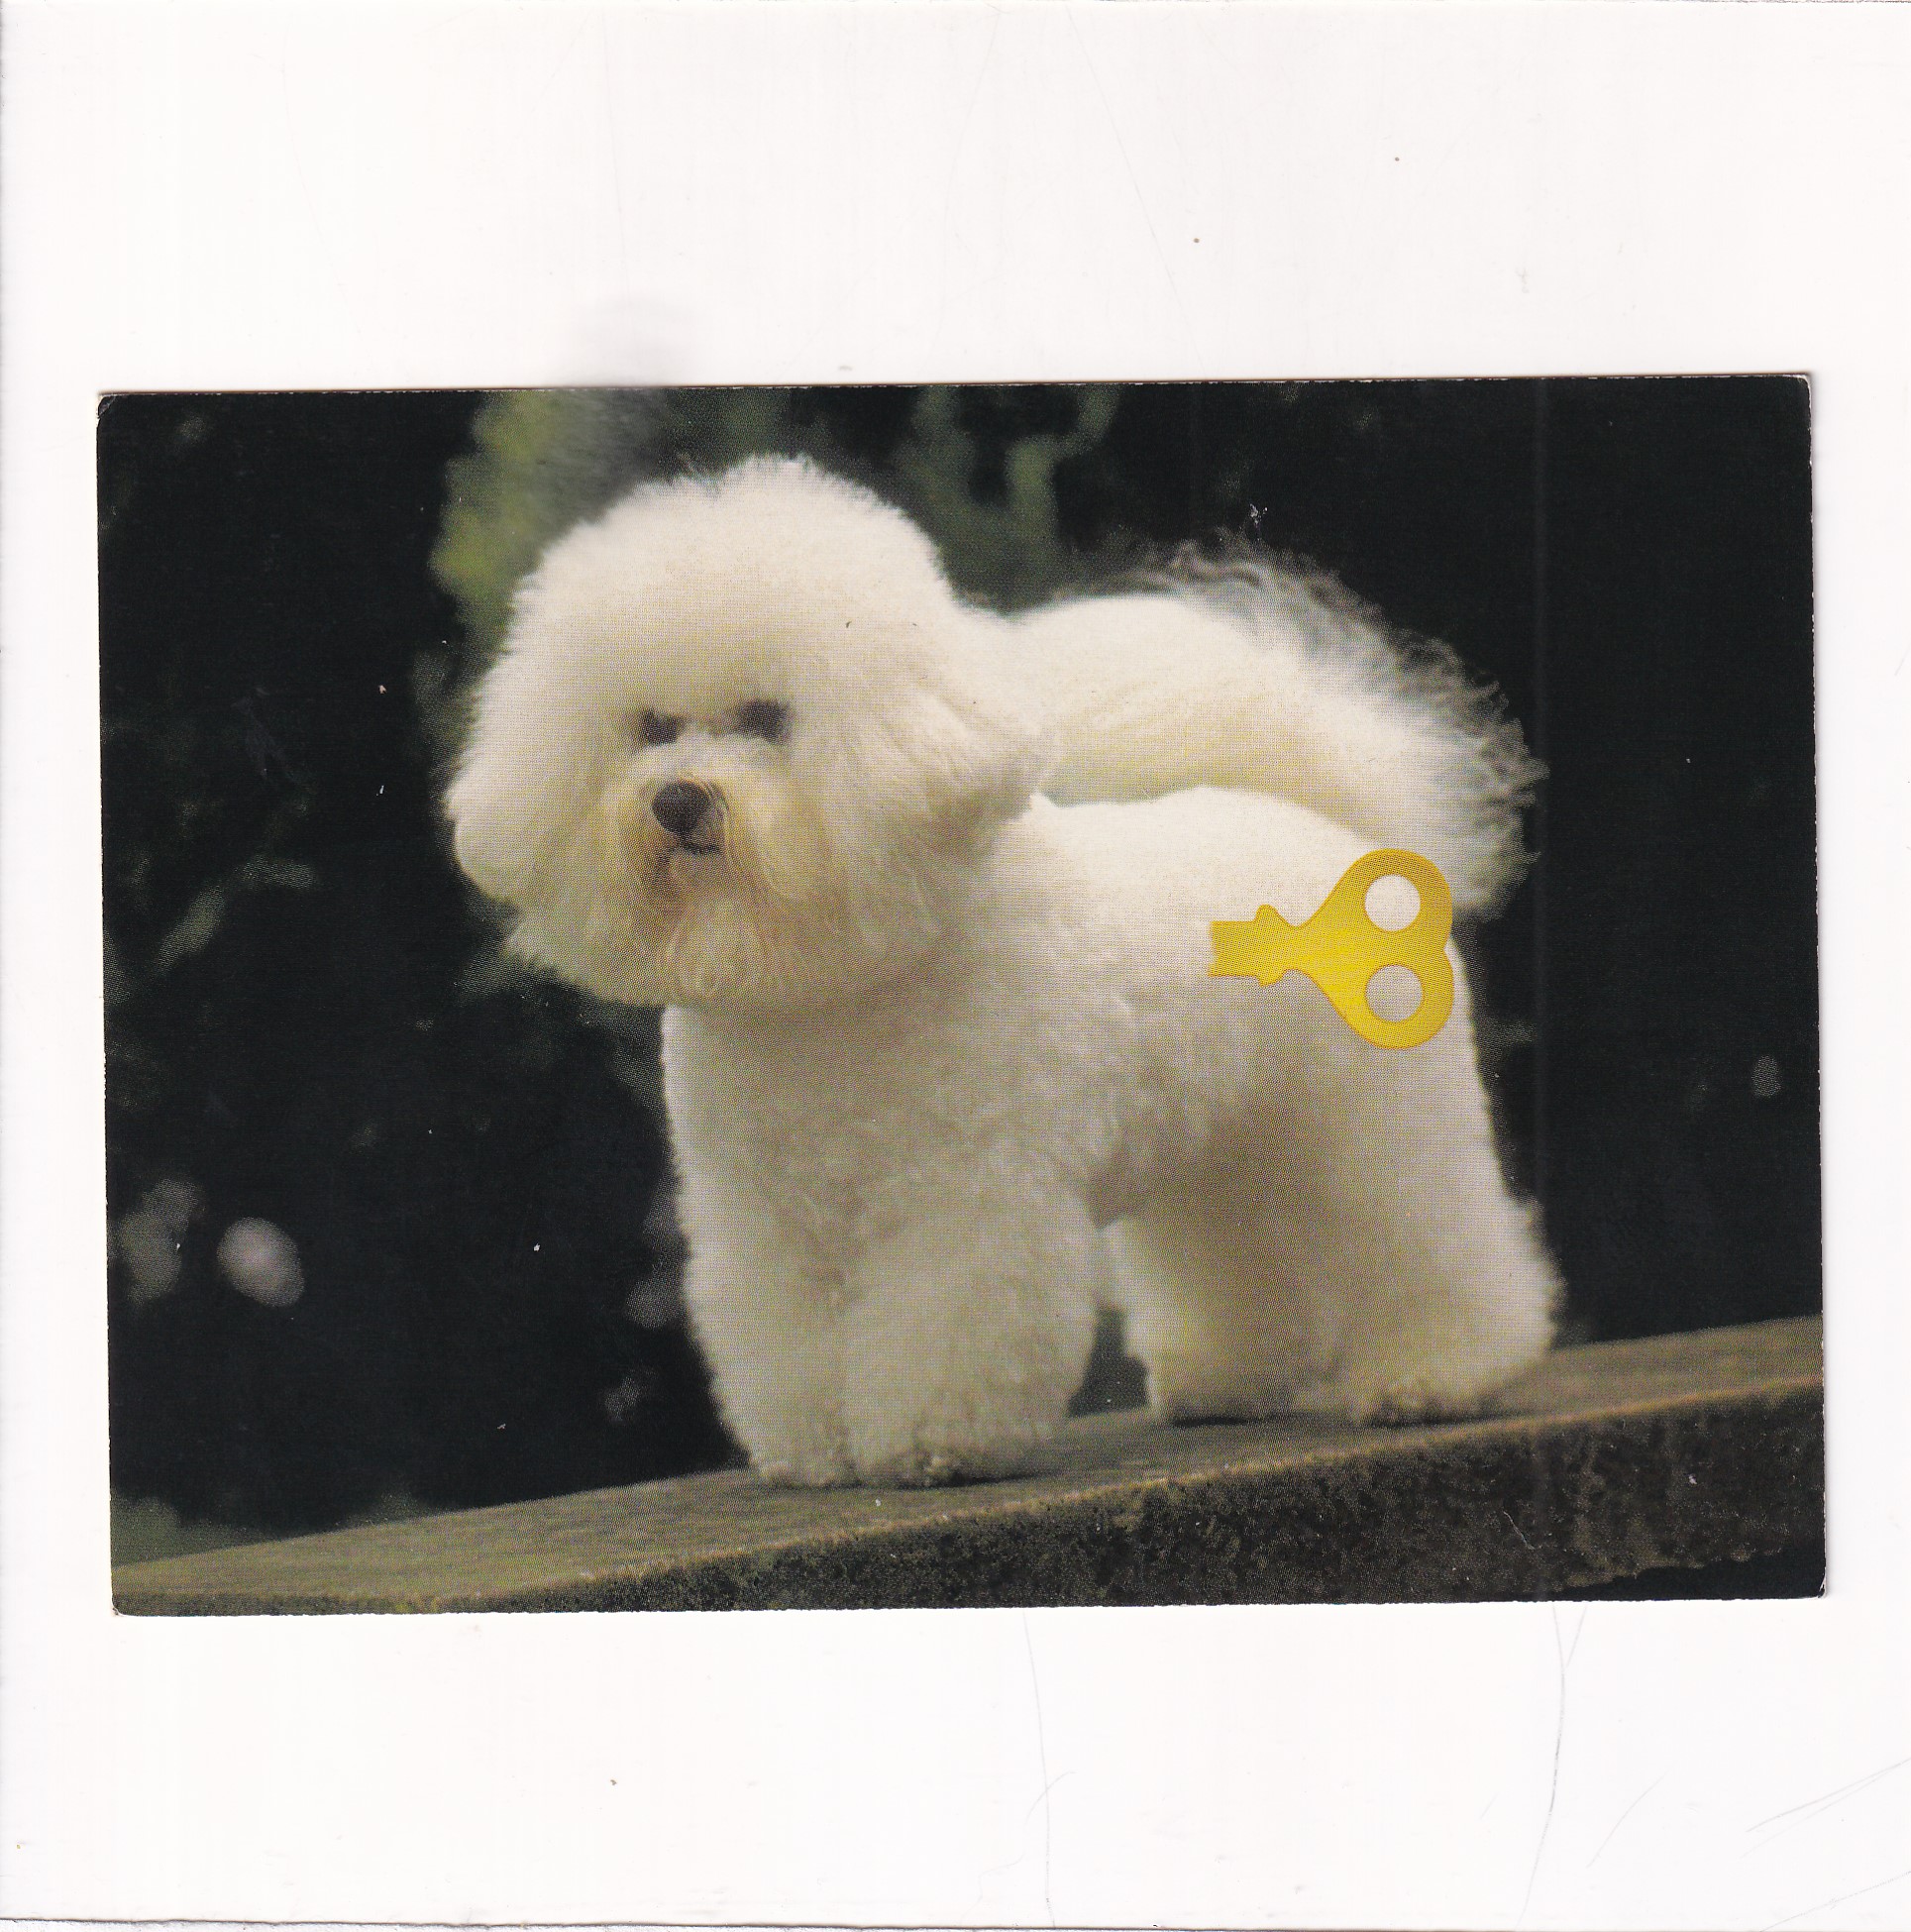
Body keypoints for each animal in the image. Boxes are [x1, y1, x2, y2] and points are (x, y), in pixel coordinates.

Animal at [446, 455, 1558, 1486]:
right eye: (650, 730)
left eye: (768, 718)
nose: (676, 801)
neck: (836, 989)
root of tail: (1328, 830)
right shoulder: (766, 1218)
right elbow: (789, 1341)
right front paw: (815, 1454)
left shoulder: (965, 1193)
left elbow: (949, 1322)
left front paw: (934, 1446)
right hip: (1223, 1145)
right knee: (1232, 1253)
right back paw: (1223, 1381)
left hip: (1374, 1120)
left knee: (1431, 1236)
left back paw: (1435, 1377)